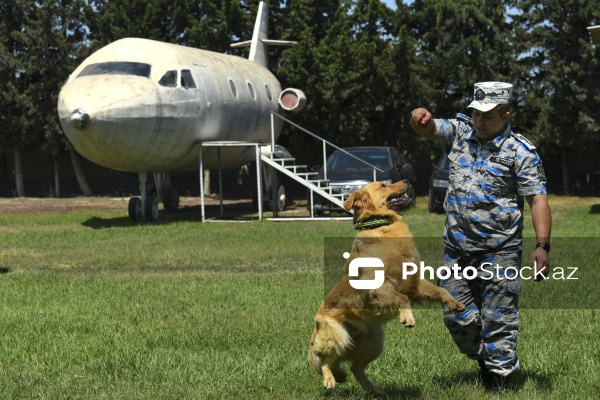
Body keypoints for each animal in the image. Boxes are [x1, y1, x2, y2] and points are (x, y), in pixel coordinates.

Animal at [308, 180, 466, 390]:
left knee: (354, 368)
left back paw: (372, 389)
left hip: (373, 344)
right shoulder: (379, 285)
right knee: (326, 362)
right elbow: (402, 298)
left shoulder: (412, 283)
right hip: (338, 337)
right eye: (384, 185)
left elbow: (439, 289)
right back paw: (329, 379)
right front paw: (408, 317)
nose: (407, 180)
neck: (382, 226)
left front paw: (453, 302)